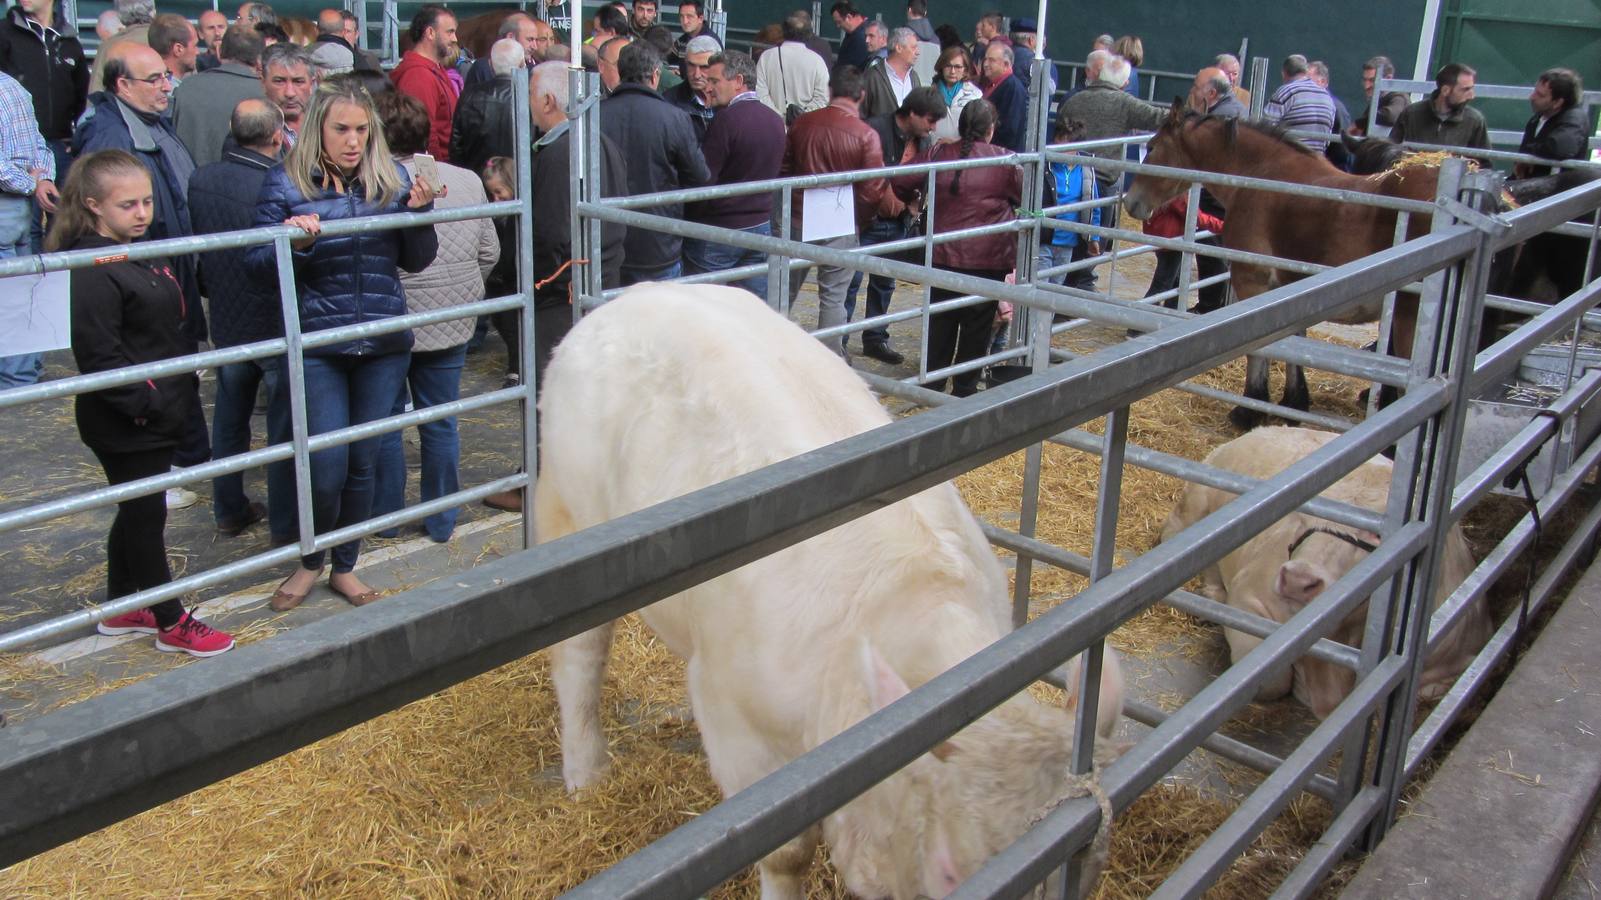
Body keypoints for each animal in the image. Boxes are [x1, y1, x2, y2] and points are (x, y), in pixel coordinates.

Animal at [537, 285, 1127, 896]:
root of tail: (632, 295)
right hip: (569, 509)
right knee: (580, 654)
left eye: (1089, 870)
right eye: (947, 871)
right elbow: (785, 852)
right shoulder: (731, 710)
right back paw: (586, 773)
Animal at [1120, 103, 1447, 429]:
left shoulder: (1253, 282)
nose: (1130, 201)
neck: (1262, 174)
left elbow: (1260, 348)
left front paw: (1250, 409)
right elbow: (1293, 344)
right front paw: (1294, 402)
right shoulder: (1292, 289)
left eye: (1152, 146)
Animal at [1165, 425, 1485, 714]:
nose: (1297, 580)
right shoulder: (1249, 599)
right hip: (1194, 506)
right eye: (1304, 513)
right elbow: (1271, 680)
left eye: (1376, 533)